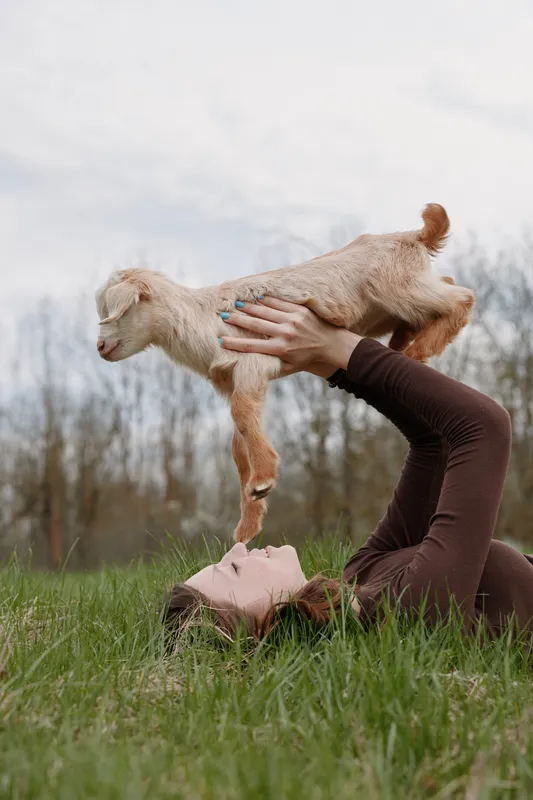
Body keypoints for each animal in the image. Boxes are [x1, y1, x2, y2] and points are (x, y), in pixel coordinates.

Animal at [95, 203, 474, 543]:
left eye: (115, 312)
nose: (99, 347)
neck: (201, 318)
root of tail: (415, 235)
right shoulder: (230, 381)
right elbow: (238, 444)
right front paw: (248, 524)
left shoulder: (253, 361)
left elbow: (242, 414)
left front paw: (263, 479)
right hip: (393, 301)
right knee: (438, 292)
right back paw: (401, 345)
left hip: (396, 284)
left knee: (460, 297)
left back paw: (416, 352)